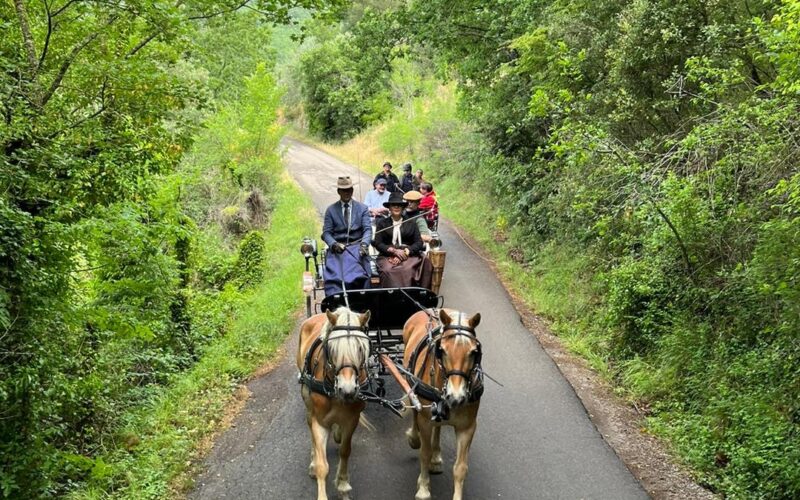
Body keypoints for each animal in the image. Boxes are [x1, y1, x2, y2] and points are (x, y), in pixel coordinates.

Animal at [296, 306, 372, 500]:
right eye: (332, 348)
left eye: (361, 348)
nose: (347, 390)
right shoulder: (319, 421)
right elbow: (322, 466)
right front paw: (317, 467)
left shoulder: (352, 419)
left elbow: (345, 451)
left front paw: (343, 485)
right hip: (307, 398)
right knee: (310, 425)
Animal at [404, 308, 484, 500]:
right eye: (442, 350)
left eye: (473, 352)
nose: (456, 397)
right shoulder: (426, 422)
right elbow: (424, 454)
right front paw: (423, 489)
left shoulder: (467, 427)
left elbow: (460, 468)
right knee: (415, 412)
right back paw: (414, 438)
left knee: (439, 426)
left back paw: (436, 457)